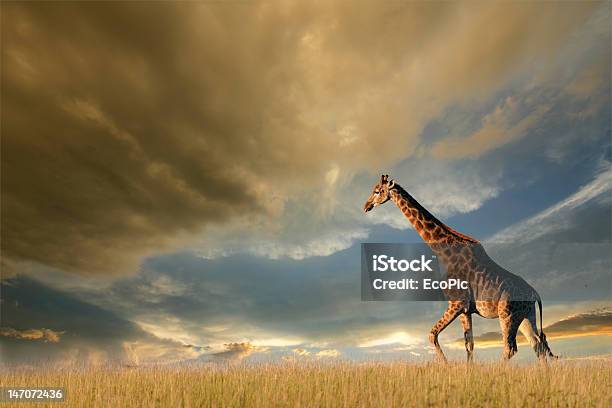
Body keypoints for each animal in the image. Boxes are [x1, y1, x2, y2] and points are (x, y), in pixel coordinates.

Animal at [364, 174, 560, 362]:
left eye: (377, 191)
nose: (366, 206)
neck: (444, 252)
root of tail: (534, 293)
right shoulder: (465, 310)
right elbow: (469, 345)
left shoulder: (456, 303)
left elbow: (432, 335)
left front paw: (446, 365)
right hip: (526, 314)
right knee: (538, 344)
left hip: (507, 314)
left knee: (511, 347)